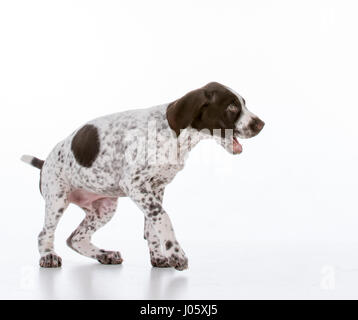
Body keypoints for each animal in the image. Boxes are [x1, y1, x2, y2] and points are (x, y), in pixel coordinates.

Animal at [21, 82, 264, 270]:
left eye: (243, 103)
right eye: (232, 106)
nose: (261, 124)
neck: (174, 136)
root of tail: (44, 163)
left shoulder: (156, 189)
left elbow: (152, 227)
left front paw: (159, 257)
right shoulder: (136, 186)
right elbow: (164, 218)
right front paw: (176, 254)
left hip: (104, 209)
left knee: (76, 239)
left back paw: (105, 255)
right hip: (57, 199)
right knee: (45, 234)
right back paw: (48, 256)